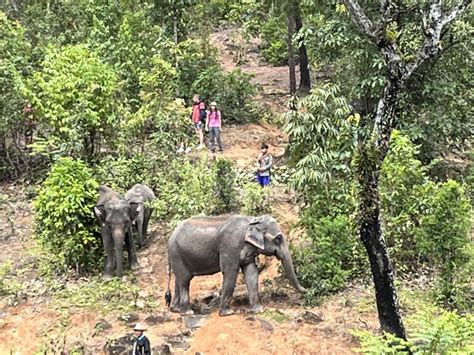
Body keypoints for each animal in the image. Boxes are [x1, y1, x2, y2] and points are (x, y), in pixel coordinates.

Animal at [165, 214, 306, 318]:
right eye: (278, 239)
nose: (306, 291)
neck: (253, 221)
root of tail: (170, 236)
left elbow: (251, 273)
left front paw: (258, 310)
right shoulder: (230, 246)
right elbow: (230, 272)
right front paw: (227, 313)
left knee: (179, 279)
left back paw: (176, 310)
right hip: (177, 253)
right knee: (184, 280)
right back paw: (187, 312)